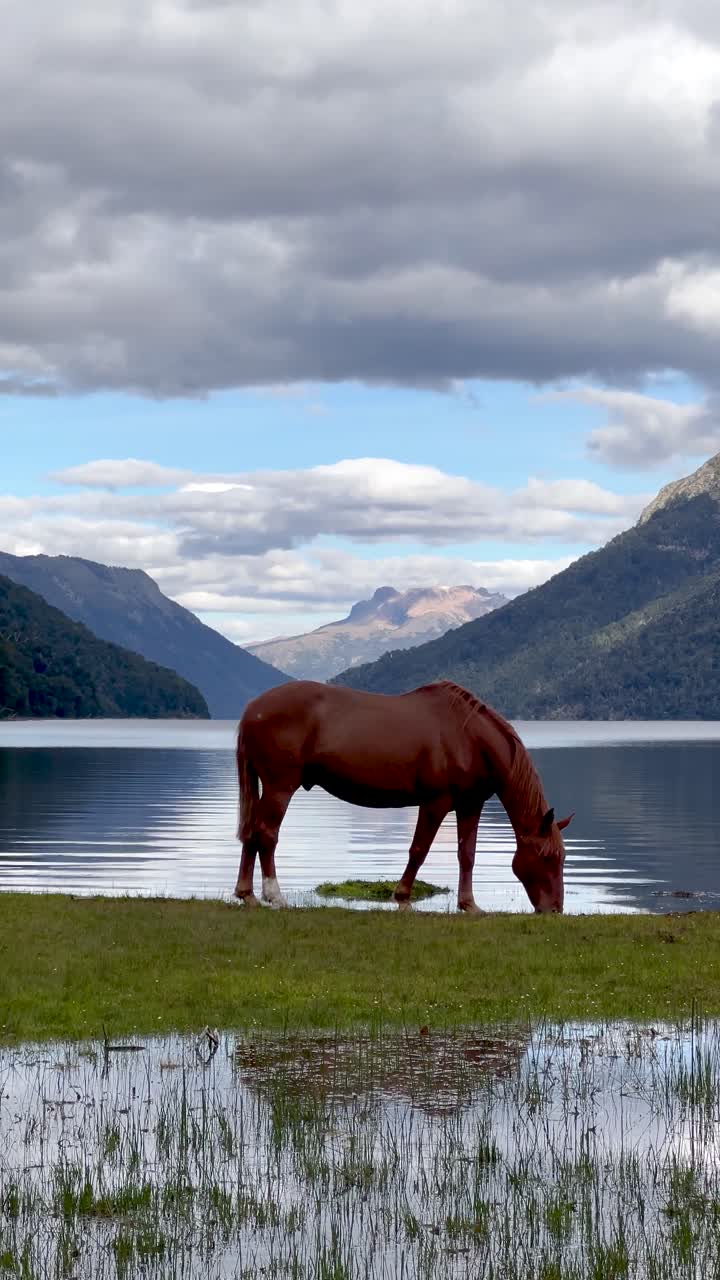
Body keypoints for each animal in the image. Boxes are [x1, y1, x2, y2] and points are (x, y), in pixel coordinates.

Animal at [234, 679, 573, 914]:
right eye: (546, 856)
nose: (554, 909)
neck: (469, 738)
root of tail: (252, 709)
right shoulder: (435, 803)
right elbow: (418, 850)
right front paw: (403, 898)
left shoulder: (469, 804)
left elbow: (467, 854)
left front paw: (469, 904)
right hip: (279, 787)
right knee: (266, 835)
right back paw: (274, 896)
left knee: (252, 835)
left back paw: (247, 895)